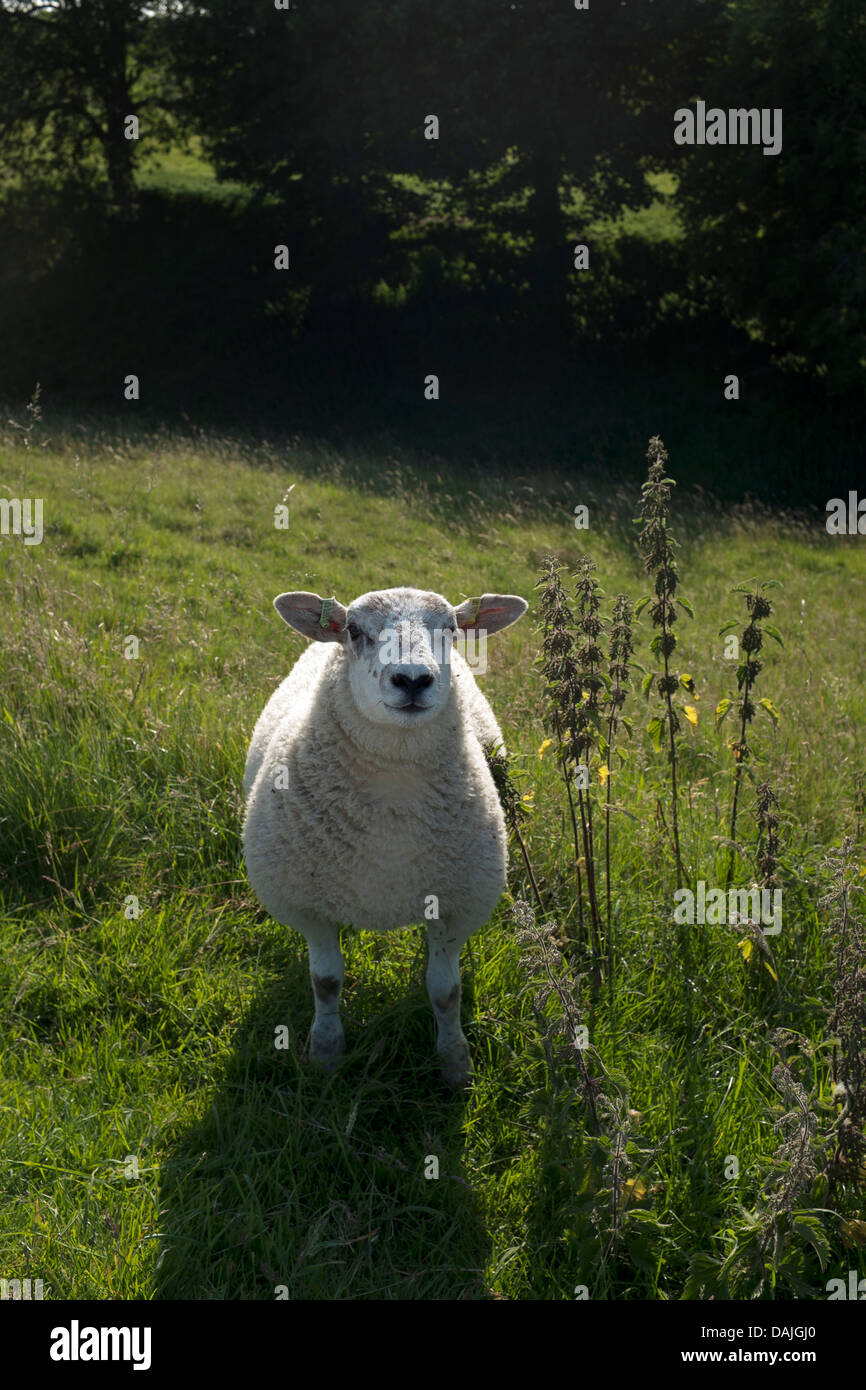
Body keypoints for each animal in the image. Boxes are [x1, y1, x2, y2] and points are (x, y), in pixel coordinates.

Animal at [242, 585, 528, 1087]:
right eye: (355, 631)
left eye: (451, 629)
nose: (412, 679)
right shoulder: (309, 905)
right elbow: (326, 982)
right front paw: (326, 1053)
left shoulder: (456, 906)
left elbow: (446, 991)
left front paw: (455, 1063)